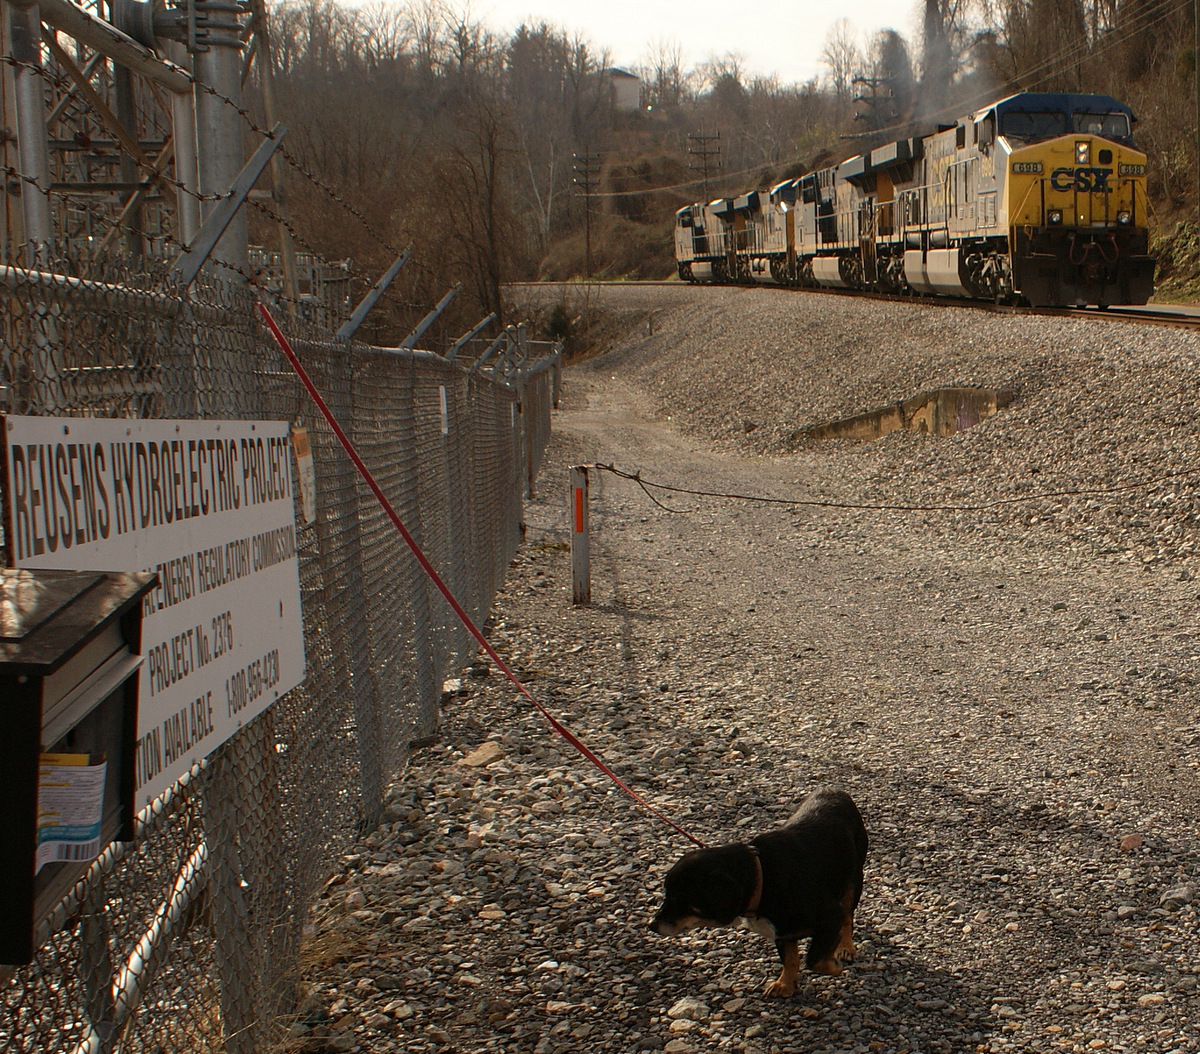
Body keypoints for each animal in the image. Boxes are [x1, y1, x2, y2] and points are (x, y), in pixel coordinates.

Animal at [652, 792, 868, 998]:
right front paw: (785, 984)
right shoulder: (782, 933)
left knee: (848, 916)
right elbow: (790, 959)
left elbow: (814, 958)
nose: (651, 926)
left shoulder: (831, 917)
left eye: (680, 900)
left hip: (854, 879)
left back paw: (846, 947)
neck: (762, 878)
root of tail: (834, 790)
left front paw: (834, 967)